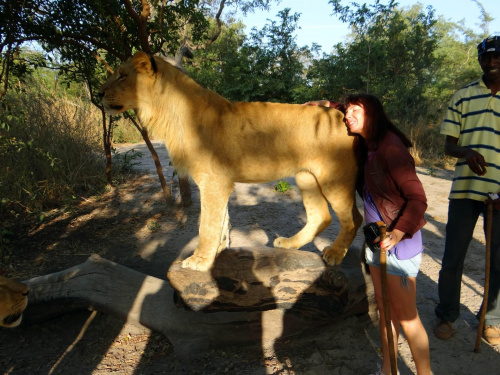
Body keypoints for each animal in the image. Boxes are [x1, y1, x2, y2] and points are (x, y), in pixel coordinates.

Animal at [98, 51, 364, 272]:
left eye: (122, 76)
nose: (98, 93)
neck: (170, 112)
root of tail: (340, 114)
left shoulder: (213, 181)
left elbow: (207, 224)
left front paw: (199, 261)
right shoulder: (217, 182)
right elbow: (221, 221)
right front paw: (217, 252)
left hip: (334, 179)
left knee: (354, 219)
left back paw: (335, 253)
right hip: (306, 177)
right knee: (321, 216)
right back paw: (289, 243)